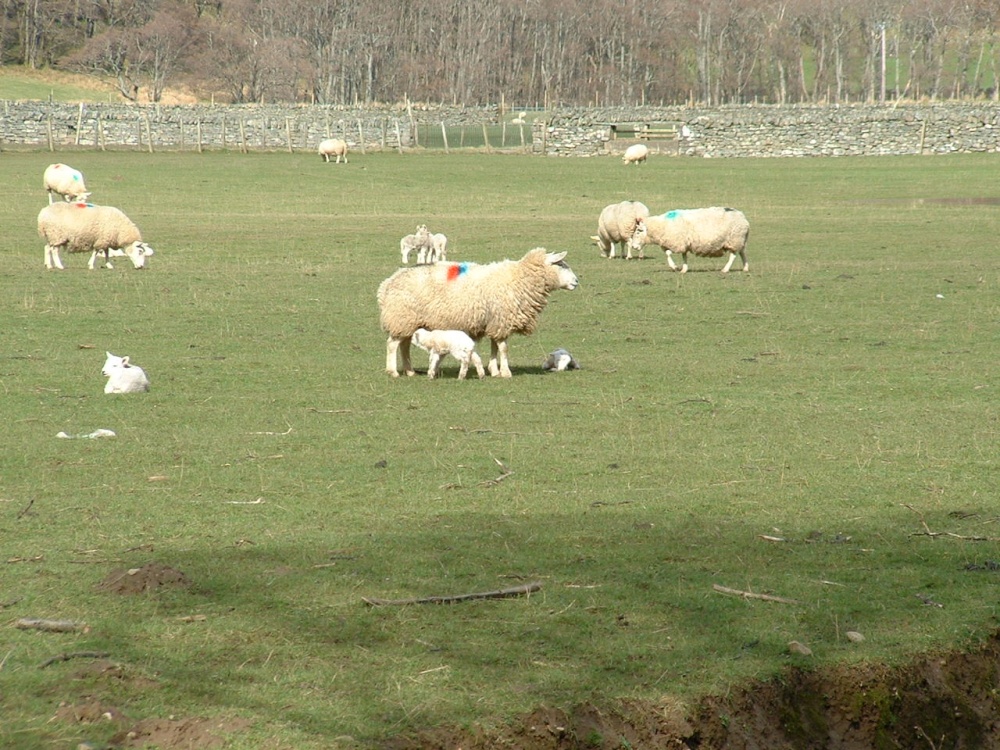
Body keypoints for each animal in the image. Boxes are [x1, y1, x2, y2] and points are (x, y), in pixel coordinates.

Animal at [378, 248, 579, 378]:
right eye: (561, 265)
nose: (576, 281)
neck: (520, 279)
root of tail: (387, 283)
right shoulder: (501, 320)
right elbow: (503, 348)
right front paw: (505, 372)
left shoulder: (494, 322)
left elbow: (494, 347)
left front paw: (494, 370)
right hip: (402, 317)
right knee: (392, 344)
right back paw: (393, 371)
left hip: (409, 321)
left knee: (404, 346)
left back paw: (410, 371)